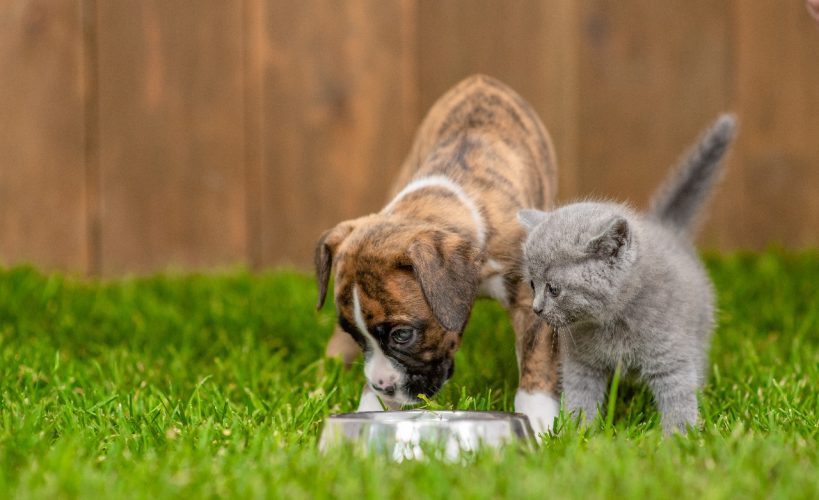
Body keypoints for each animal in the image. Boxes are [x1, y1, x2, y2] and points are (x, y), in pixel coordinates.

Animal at [316, 75, 564, 438]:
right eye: (355, 334)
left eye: (402, 335)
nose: (383, 386)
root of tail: (481, 80)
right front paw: (370, 410)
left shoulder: (530, 301)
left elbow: (536, 360)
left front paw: (539, 420)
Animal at [524, 114, 740, 434]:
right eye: (532, 284)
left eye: (553, 289)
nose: (536, 309)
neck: (612, 322)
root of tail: (667, 227)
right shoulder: (582, 364)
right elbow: (580, 397)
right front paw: (578, 432)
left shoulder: (671, 356)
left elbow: (678, 397)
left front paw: (679, 437)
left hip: (699, 333)